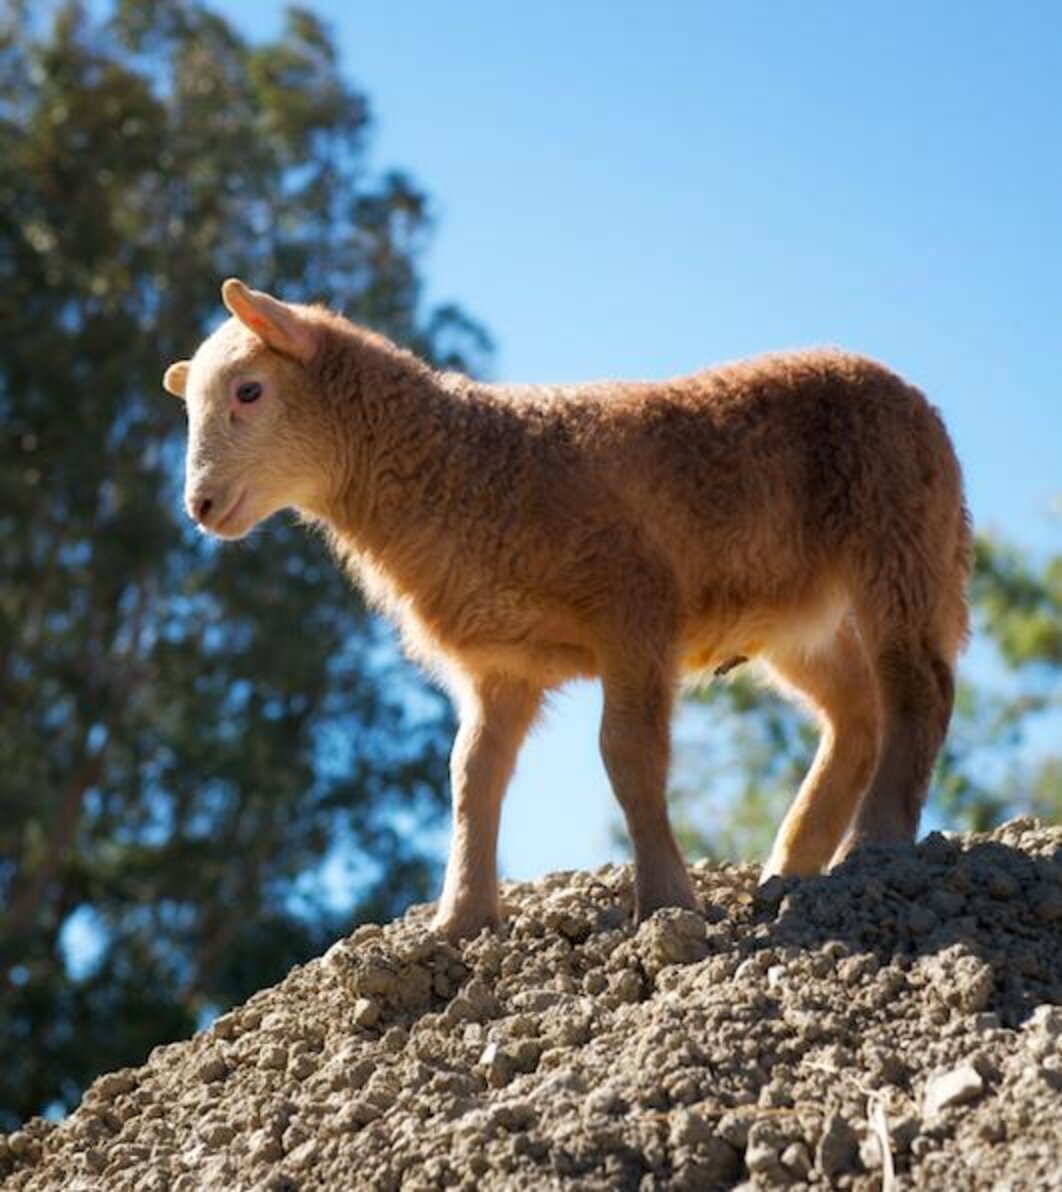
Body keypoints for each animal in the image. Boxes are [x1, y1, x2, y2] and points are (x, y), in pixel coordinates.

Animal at [163, 279, 972, 941]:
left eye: (248, 391)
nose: (199, 506)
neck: (461, 462)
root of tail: (915, 398)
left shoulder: (635, 610)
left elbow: (628, 756)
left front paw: (666, 901)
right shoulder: (503, 664)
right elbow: (470, 776)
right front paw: (460, 921)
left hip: (899, 537)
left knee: (916, 691)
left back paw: (873, 846)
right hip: (793, 618)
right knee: (855, 715)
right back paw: (792, 866)